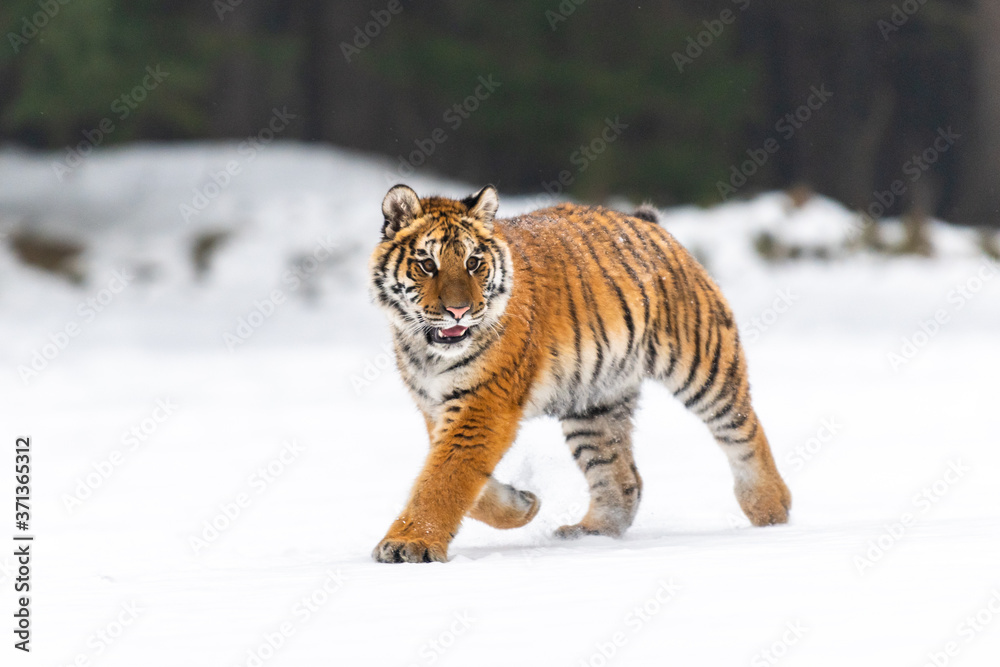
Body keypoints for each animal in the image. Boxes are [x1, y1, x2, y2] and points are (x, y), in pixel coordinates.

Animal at [369, 184, 791, 563]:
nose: (459, 311)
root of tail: (647, 223)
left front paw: (409, 544)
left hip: (702, 364)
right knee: (623, 478)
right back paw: (592, 533)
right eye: (428, 264)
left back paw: (771, 511)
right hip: (594, 404)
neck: (427, 351)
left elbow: (445, 478)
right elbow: (455, 477)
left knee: (744, 428)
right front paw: (523, 505)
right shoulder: (437, 407)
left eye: (473, 263)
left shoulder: (483, 405)